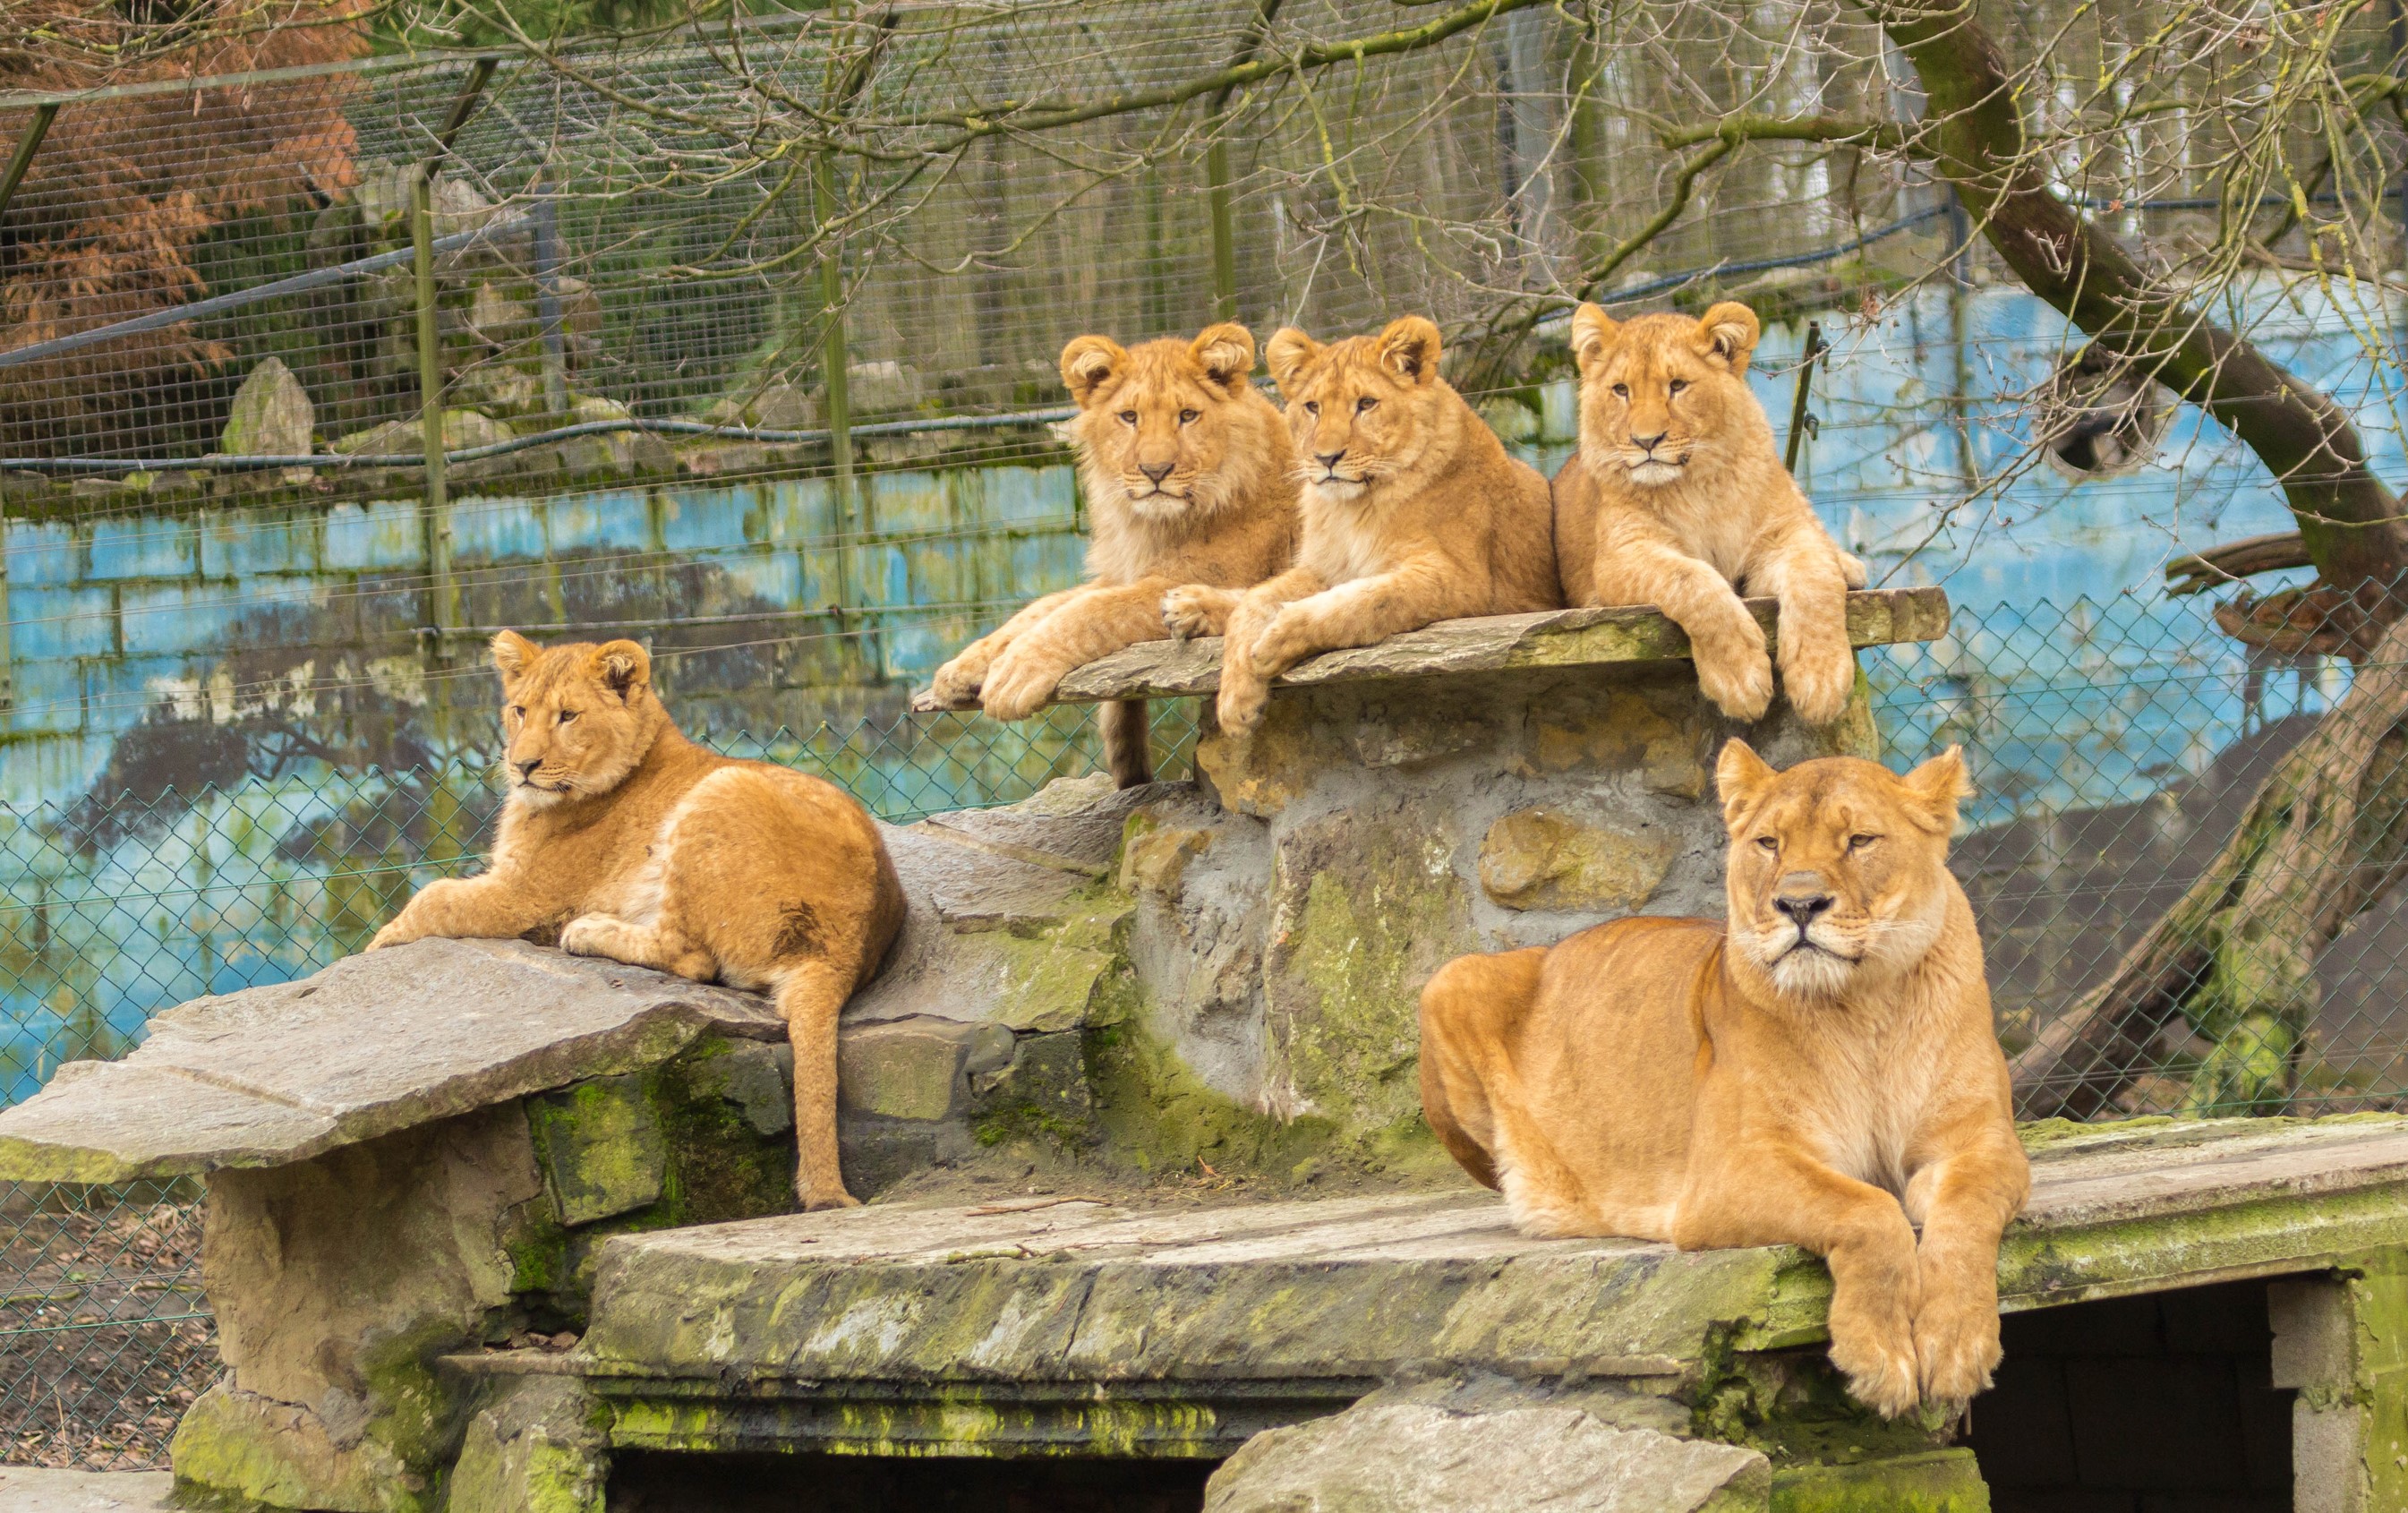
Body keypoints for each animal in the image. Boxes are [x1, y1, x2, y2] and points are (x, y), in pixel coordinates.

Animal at [369, 632, 906, 1212]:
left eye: (568, 716)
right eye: (520, 710)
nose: (523, 765)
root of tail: (844, 953)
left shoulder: (526, 897)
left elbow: (435, 898)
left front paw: (379, 942)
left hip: (719, 791)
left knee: (692, 958)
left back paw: (588, 932)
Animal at [916, 323, 1300, 786]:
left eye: (1188, 416)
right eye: (1129, 417)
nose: (1156, 471)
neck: (1150, 524)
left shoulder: (1179, 578)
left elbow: (1089, 613)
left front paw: (1015, 672)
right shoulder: (1118, 575)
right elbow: (1040, 609)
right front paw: (960, 669)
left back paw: (1191, 612)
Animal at [1167, 315, 1559, 734]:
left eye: (1366, 404)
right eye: (1313, 407)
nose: (1326, 458)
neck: (1352, 509)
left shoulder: (1462, 580)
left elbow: (1365, 601)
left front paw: (1278, 636)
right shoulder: (1322, 568)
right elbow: (1254, 602)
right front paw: (1237, 702)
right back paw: (1185, 605)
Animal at [1419, 741, 2028, 1418]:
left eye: (1860, 840)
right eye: (1769, 843)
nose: (1798, 905)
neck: (1865, 1008)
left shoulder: (1980, 1142)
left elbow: (1966, 1212)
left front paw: (1957, 1345)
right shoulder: (1732, 1170)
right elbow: (1866, 1209)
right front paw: (1879, 1358)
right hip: (1452, 979)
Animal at [1552, 301, 1868, 727]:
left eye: (1677, 385)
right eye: (1621, 390)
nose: (1645, 441)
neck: (1695, 486)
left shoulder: (1782, 534)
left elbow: (1814, 576)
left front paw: (1821, 679)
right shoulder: (1620, 557)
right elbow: (1693, 581)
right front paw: (1740, 679)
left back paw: (1849, 567)